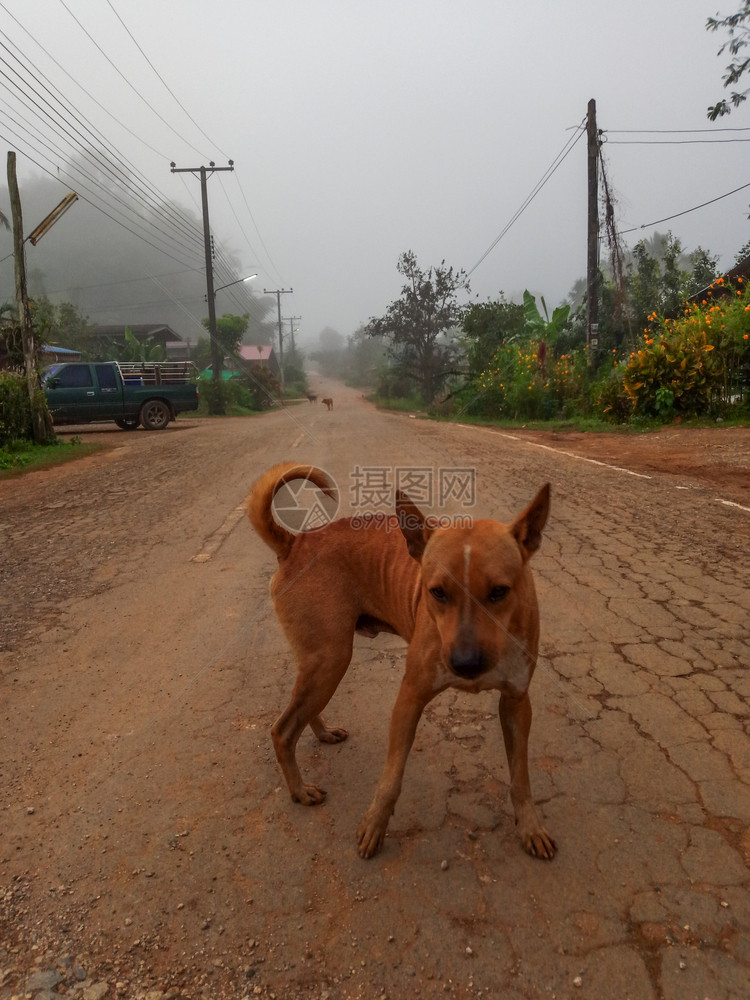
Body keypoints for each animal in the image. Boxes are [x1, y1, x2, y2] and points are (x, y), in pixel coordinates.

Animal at [248, 460, 560, 860]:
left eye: (500, 592)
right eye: (437, 592)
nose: (466, 664)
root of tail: (296, 543)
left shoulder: (517, 703)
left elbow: (520, 777)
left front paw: (530, 826)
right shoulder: (410, 698)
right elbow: (391, 778)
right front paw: (374, 825)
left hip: (320, 662)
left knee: (302, 709)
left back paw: (322, 732)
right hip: (330, 660)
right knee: (283, 730)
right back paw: (299, 791)